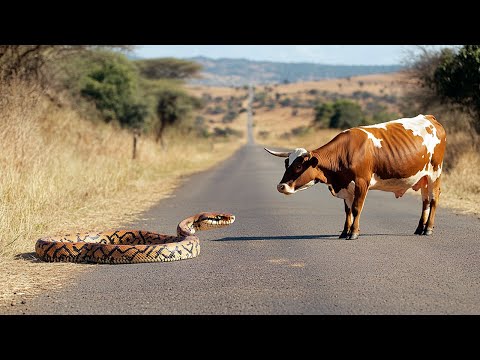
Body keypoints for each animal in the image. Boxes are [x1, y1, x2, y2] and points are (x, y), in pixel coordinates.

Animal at [264, 114, 444, 240]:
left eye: (299, 166)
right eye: (287, 163)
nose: (281, 186)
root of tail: (429, 118)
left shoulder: (361, 183)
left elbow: (357, 208)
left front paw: (354, 233)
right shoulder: (346, 186)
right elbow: (348, 210)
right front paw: (344, 231)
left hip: (435, 174)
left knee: (434, 200)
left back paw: (428, 229)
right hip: (423, 178)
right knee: (425, 201)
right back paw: (420, 228)